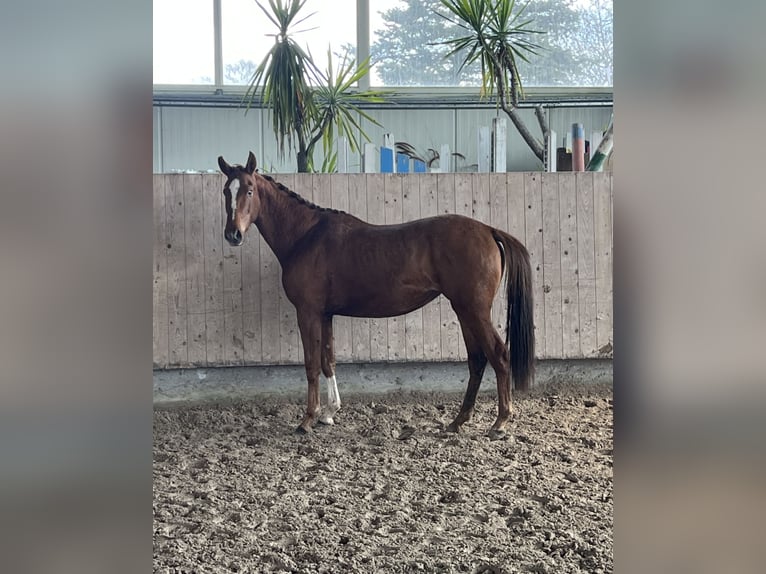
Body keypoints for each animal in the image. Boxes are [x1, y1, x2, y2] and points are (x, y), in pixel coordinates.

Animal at [217, 152, 535, 439]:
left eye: (249, 189)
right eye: (226, 191)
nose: (233, 235)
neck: (306, 236)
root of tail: (488, 230)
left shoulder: (307, 312)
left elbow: (311, 364)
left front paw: (308, 419)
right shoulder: (325, 314)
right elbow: (328, 360)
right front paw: (329, 413)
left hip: (474, 310)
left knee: (498, 356)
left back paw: (499, 423)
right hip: (464, 310)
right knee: (477, 360)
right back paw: (457, 421)